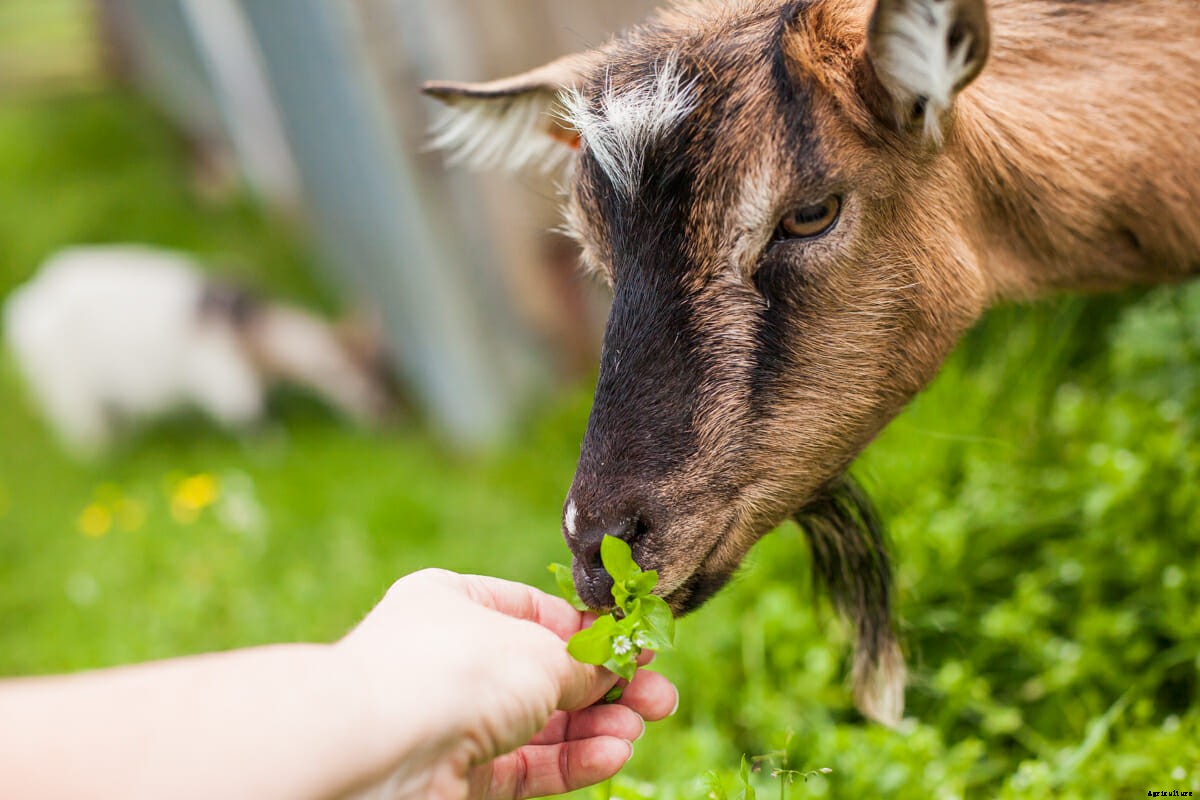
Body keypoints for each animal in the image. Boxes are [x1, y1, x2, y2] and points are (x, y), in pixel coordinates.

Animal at [3, 245, 394, 458]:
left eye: (381, 373)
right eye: (367, 387)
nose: (394, 423)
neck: (248, 330)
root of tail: (28, 310)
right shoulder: (226, 382)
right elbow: (251, 418)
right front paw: (276, 451)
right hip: (70, 392)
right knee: (88, 432)